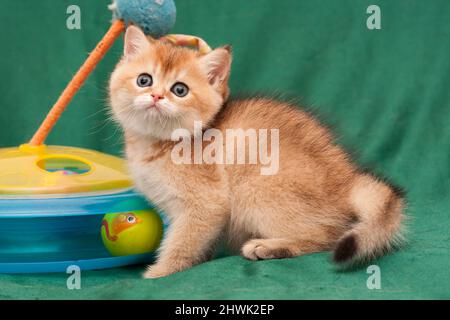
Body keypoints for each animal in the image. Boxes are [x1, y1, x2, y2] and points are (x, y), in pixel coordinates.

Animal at [108, 26, 404, 278]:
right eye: (144, 80)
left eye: (179, 89)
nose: (156, 96)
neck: (158, 144)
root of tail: (347, 180)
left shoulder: (205, 206)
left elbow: (182, 242)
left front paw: (159, 272)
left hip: (254, 189)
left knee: (328, 236)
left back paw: (268, 247)